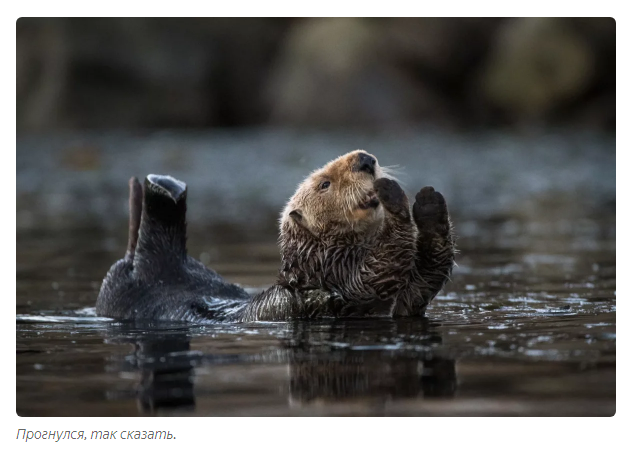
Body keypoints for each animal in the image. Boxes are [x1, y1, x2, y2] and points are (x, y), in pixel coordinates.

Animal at [95, 150, 456, 320]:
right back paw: (164, 188)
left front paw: (430, 203)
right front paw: (394, 194)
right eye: (324, 184)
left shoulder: (403, 304)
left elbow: (424, 279)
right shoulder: (340, 281)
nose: (366, 160)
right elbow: (379, 270)